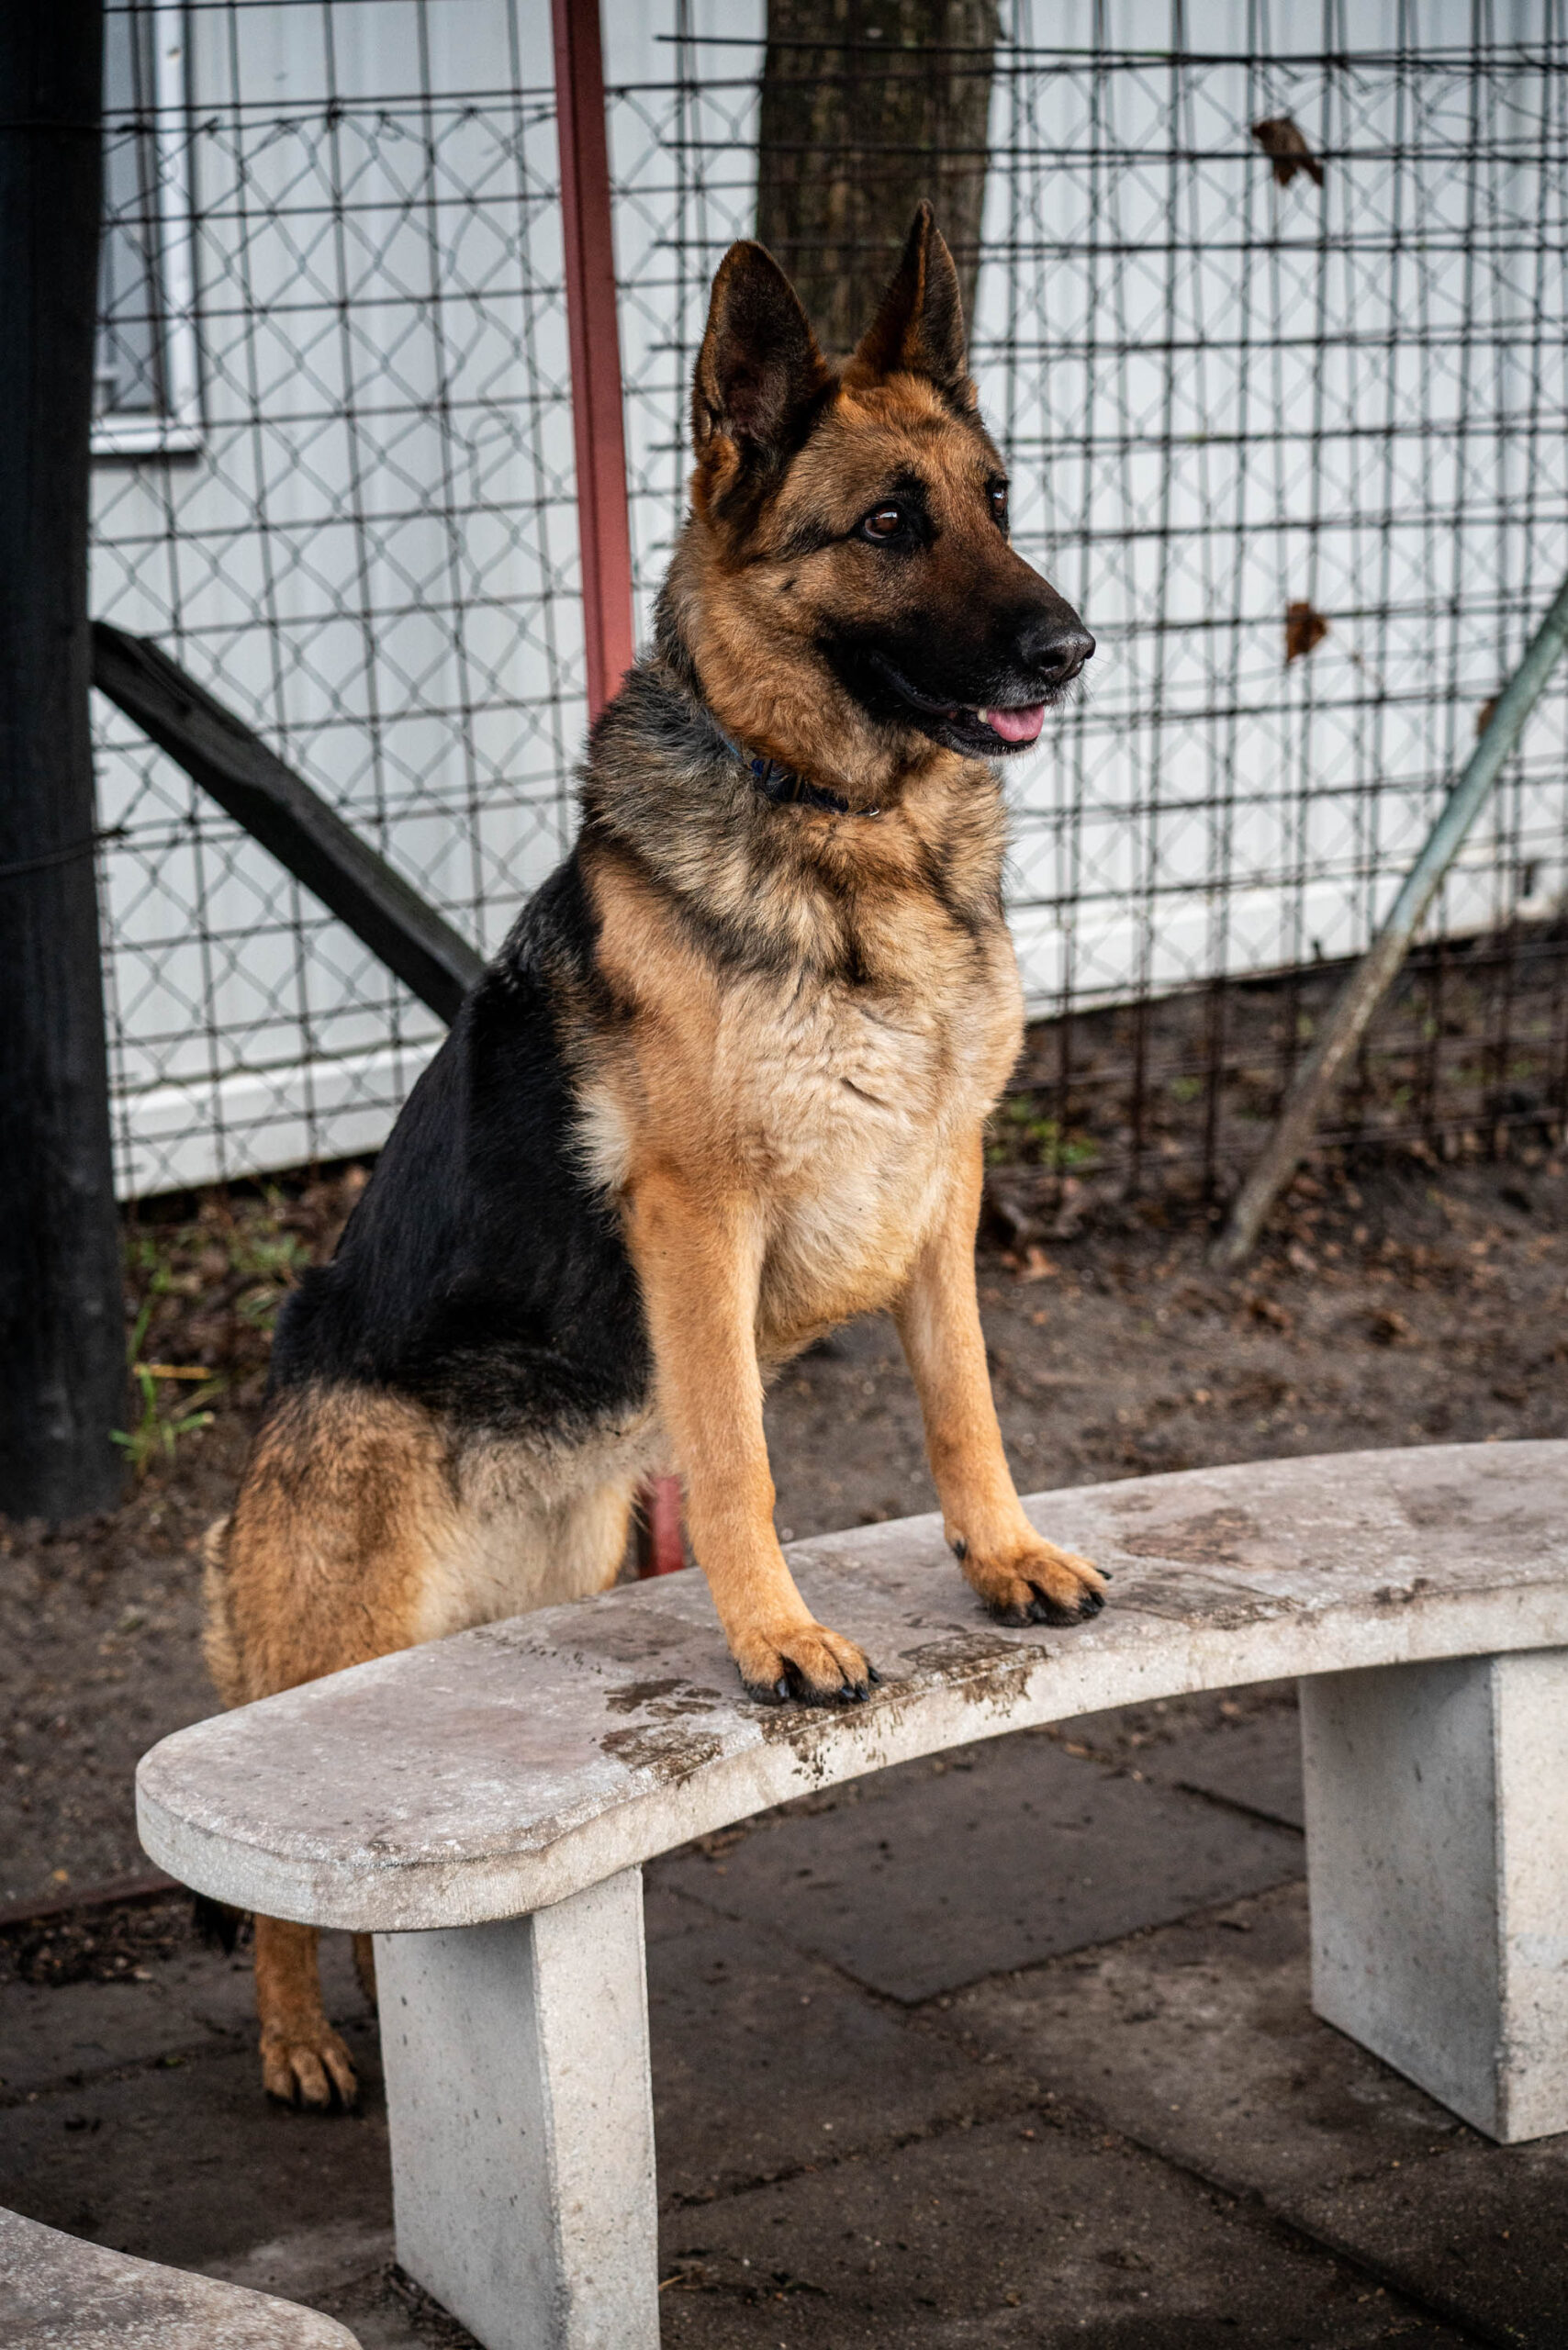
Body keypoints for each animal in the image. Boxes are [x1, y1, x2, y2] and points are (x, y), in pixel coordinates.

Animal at [204, 204, 1106, 2107]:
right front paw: (773, 1638)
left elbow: (964, 1403)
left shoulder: (942, 1189)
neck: (855, 840)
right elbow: (746, 1461)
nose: (1070, 647)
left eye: (995, 495)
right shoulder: (704, 1216)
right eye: (889, 523)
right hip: (338, 1624)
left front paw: (997, 1552)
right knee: (273, 1900)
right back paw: (296, 2035)